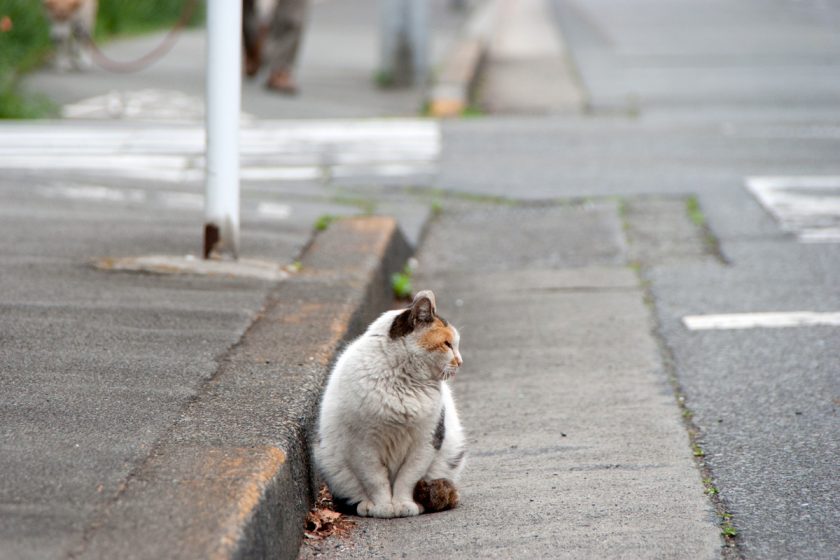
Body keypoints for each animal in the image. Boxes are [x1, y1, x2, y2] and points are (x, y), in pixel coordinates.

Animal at [318, 290, 470, 520]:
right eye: (447, 344)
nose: (460, 362)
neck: (403, 382)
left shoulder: (426, 441)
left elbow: (408, 477)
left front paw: (402, 504)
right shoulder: (361, 446)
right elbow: (374, 479)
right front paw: (382, 506)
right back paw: (365, 505)